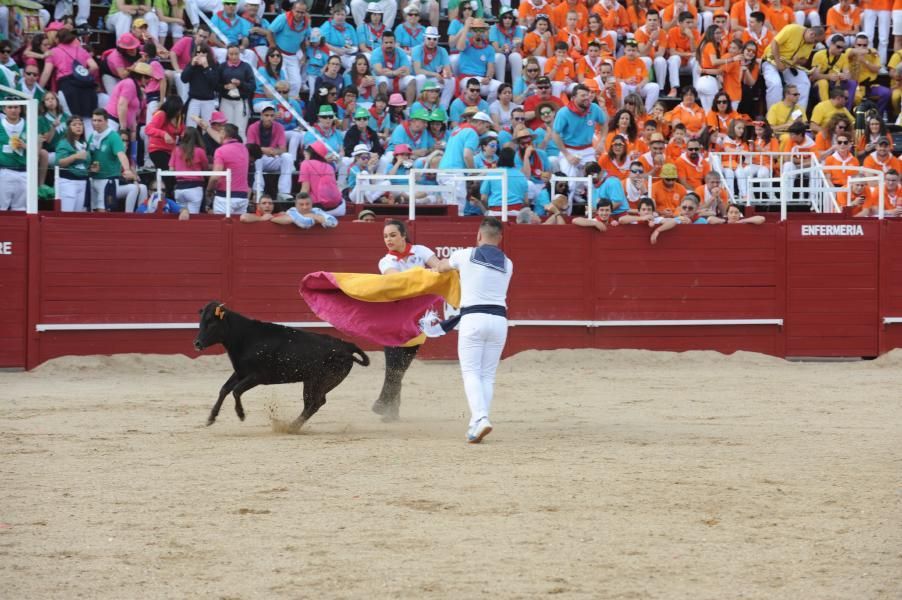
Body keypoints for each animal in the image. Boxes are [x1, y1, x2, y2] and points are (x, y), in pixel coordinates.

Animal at [194, 302, 370, 434]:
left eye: (211, 323)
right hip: (313, 381)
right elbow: (224, 389)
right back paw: (293, 426)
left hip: (321, 380)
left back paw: (292, 427)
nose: (197, 343)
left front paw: (241, 414)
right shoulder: (240, 372)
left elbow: (236, 391)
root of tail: (347, 346)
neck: (244, 337)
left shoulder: (257, 376)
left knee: (315, 403)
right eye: (201, 322)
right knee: (313, 403)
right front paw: (210, 418)